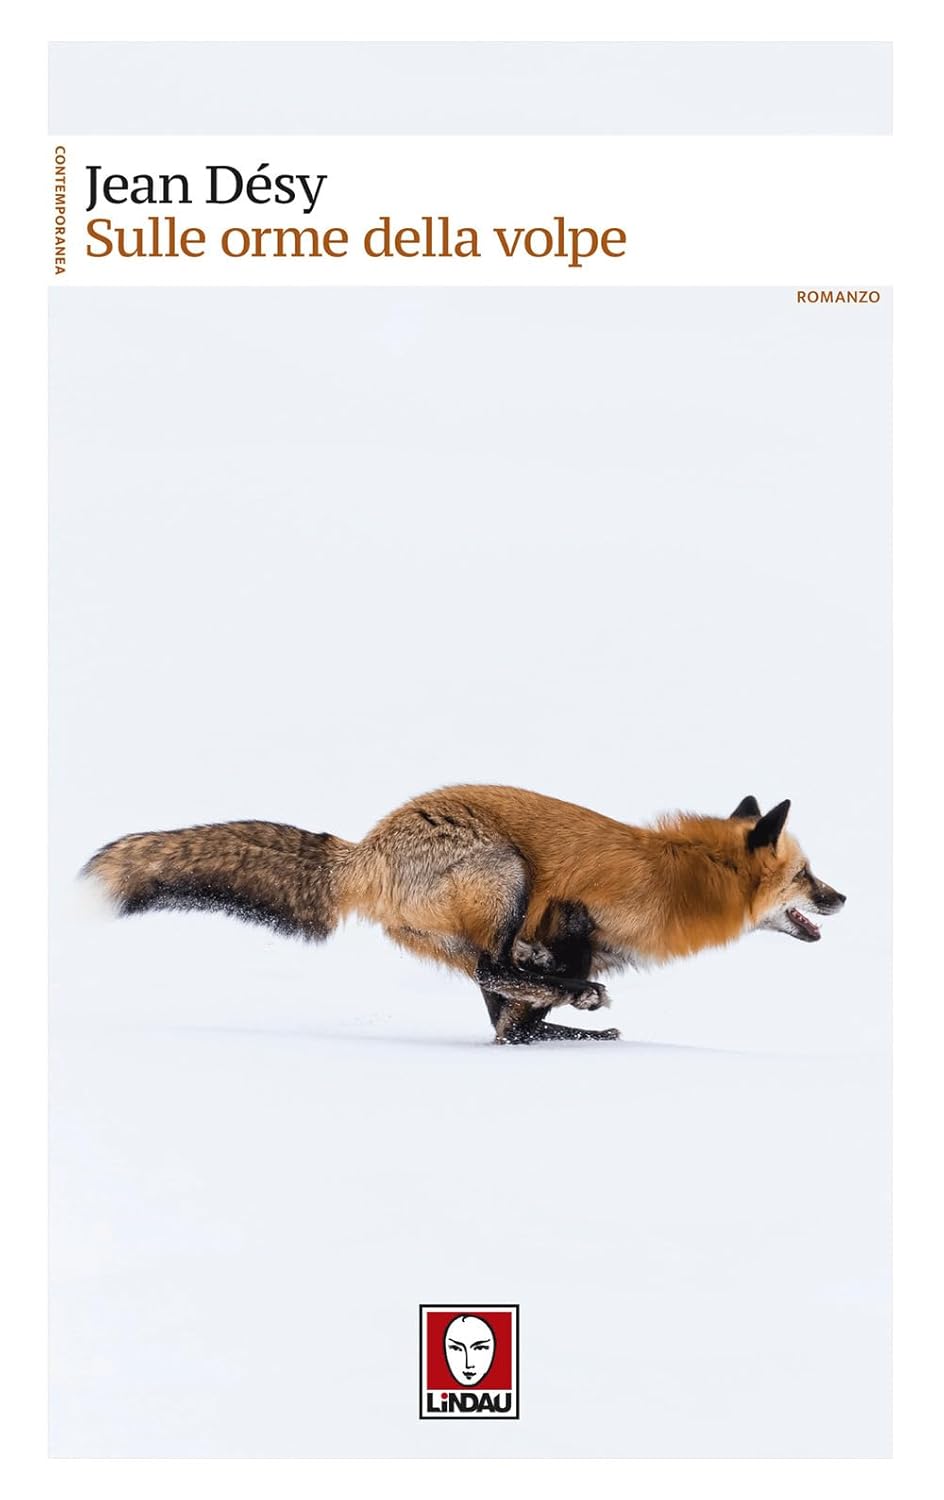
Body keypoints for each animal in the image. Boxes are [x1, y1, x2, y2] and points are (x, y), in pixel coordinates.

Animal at [82, 786, 846, 1044]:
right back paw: (581, 1008)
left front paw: (555, 1023)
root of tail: (364, 850)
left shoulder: (558, 940)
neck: (686, 874)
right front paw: (576, 1001)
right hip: (508, 874)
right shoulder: (571, 911)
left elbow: (514, 1018)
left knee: (496, 995)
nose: (842, 899)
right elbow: (529, 992)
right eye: (807, 877)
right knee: (490, 969)